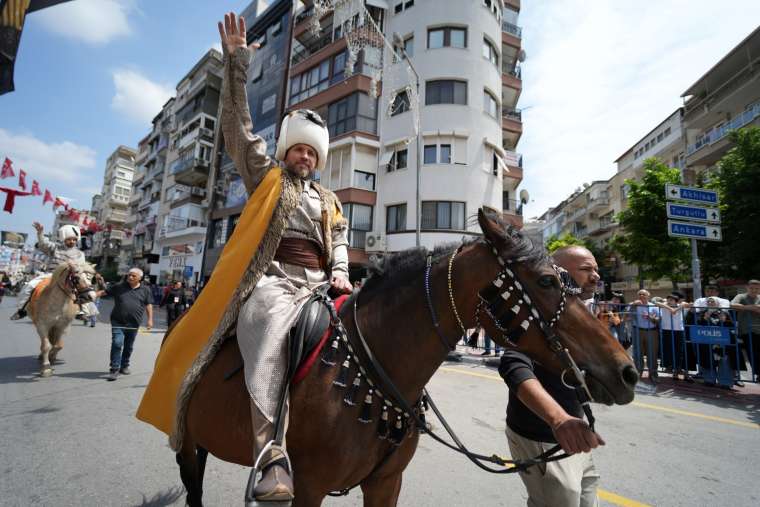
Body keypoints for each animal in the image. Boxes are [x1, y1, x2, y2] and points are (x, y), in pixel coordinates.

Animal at [175, 208, 640, 506]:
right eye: (546, 281)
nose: (628, 371)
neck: (371, 363)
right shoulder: (308, 486)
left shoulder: (386, 484)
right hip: (187, 445)